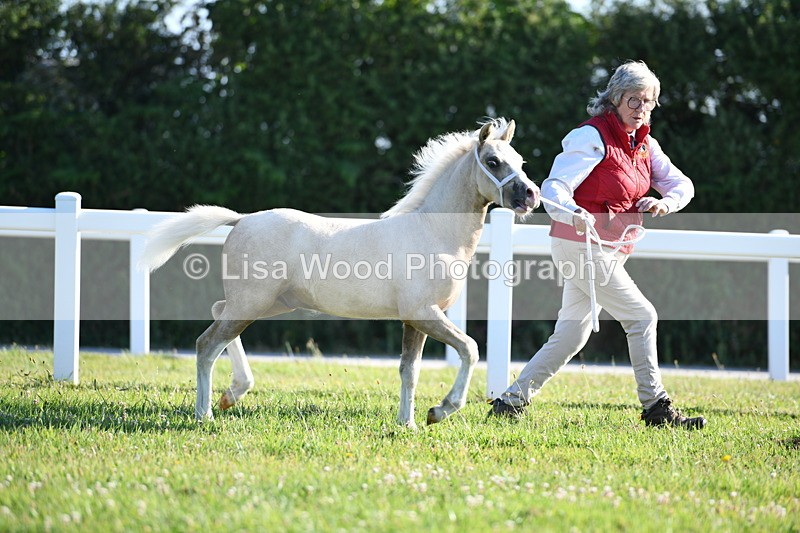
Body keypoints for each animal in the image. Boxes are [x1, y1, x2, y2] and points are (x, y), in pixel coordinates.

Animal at [141, 118, 540, 429]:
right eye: (493, 161)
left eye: (520, 161)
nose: (531, 195)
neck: (433, 232)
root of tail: (241, 220)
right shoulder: (424, 313)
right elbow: (469, 348)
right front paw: (440, 411)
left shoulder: (414, 320)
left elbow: (409, 370)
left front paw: (408, 423)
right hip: (252, 303)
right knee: (207, 344)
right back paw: (205, 413)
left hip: (270, 303)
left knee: (217, 316)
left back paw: (232, 395)